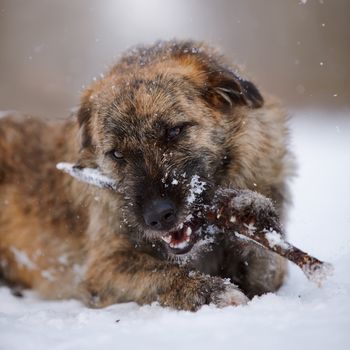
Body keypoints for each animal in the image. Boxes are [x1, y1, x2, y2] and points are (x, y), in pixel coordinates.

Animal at [0, 39, 296, 310]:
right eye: (117, 154)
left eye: (175, 131)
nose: (158, 215)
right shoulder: (104, 267)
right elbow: (161, 274)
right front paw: (210, 290)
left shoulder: (268, 279)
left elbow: (269, 262)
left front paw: (251, 215)